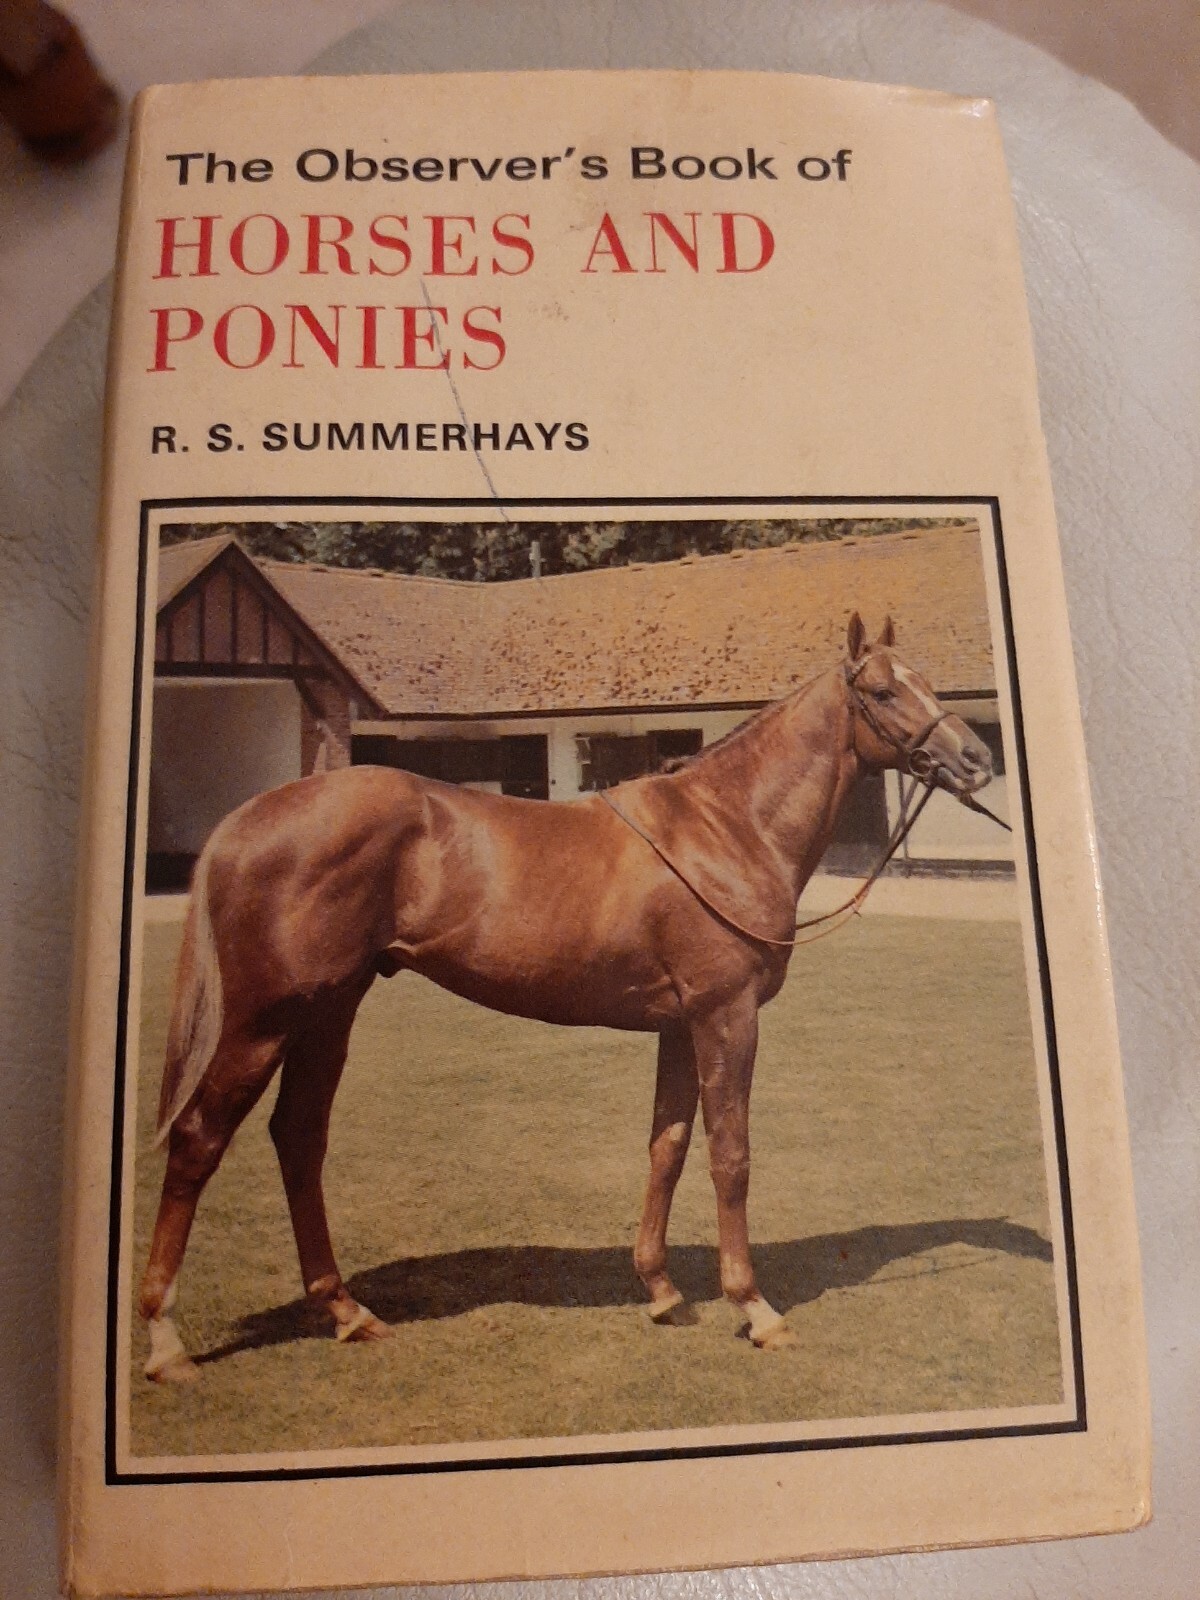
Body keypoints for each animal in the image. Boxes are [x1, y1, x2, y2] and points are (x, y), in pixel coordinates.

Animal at [138, 613, 993, 1382]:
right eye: (882, 690)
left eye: (926, 681)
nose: (978, 758)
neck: (727, 826)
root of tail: (249, 817)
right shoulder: (726, 1015)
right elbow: (731, 1153)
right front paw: (754, 1308)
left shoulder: (679, 1025)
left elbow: (668, 1145)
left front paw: (661, 1290)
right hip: (262, 1022)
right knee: (200, 1139)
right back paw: (165, 1340)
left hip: (329, 1011)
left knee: (299, 1137)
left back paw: (347, 1312)